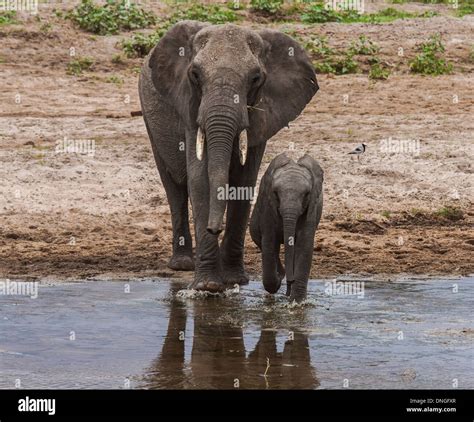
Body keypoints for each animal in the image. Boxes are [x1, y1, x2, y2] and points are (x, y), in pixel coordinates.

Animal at [138, 21, 318, 292]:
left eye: (255, 78)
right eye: (195, 75)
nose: (214, 228)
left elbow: (245, 181)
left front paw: (233, 280)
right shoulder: (190, 107)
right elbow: (199, 181)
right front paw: (209, 287)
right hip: (150, 116)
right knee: (174, 188)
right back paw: (182, 265)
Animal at [250, 153, 324, 302]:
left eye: (306, 194)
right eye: (276, 193)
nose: (290, 283)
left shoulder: (311, 209)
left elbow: (305, 244)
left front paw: (297, 302)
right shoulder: (268, 207)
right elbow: (269, 242)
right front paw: (277, 283)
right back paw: (281, 275)